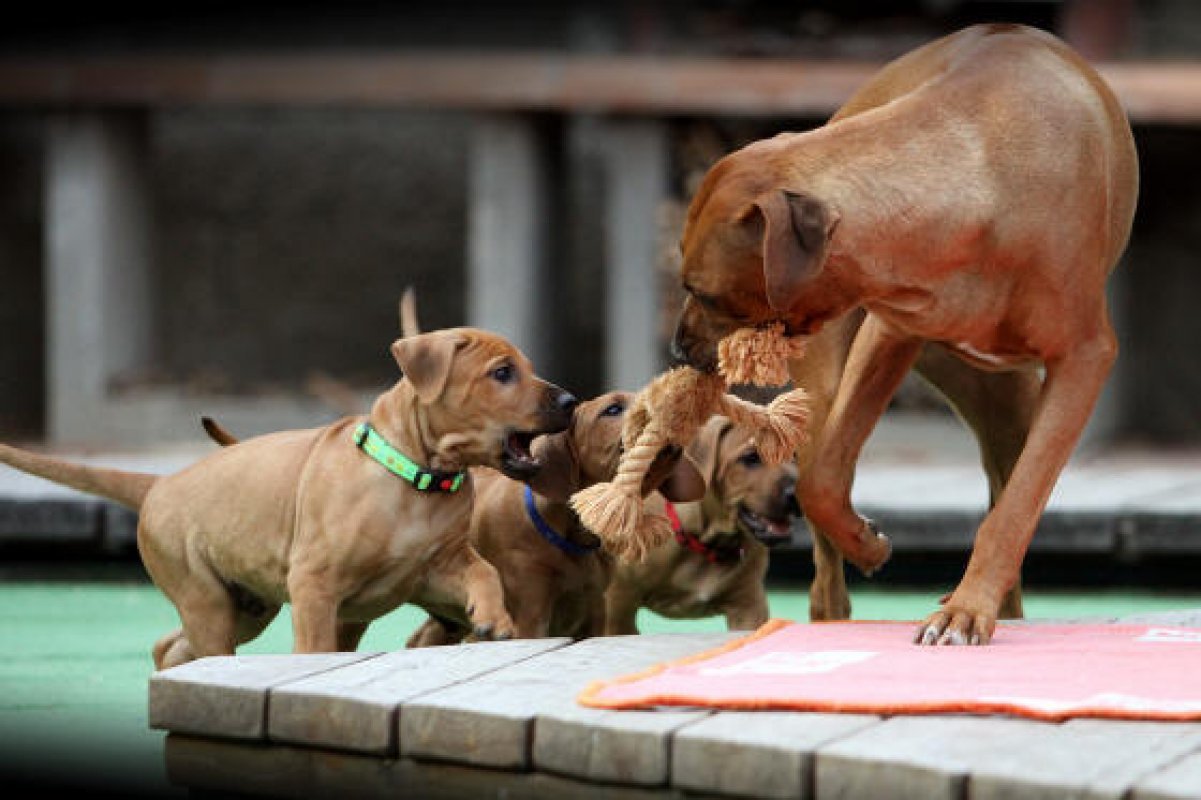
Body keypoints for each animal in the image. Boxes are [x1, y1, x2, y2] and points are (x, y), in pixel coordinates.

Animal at [0, 326, 576, 667]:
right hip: (205, 599)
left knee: (171, 645)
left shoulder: (438, 564)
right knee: (201, 647)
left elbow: (484, 571)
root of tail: (161, 483)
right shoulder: (315, 586)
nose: (571, 400)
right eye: (502, 373)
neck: (417, 478)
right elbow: (315, 648)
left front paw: (494, 618)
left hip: (245, 607)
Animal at [610, 413, 797, 634]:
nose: (795, 495)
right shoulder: (620, 600)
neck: (708, 543)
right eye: (751, 458)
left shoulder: (748, 606)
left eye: (794, 456)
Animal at [672, 24, 1138, 643]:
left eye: (703, 293)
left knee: (1005, 482)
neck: (982, 175)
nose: (677, 348)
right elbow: (821, 482)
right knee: (821, 517)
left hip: (1010, 408)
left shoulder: (1084, 359)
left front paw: (967, 608)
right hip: (836, 382)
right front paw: (868, 546)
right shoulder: (890, 328)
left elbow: (1014, 510)